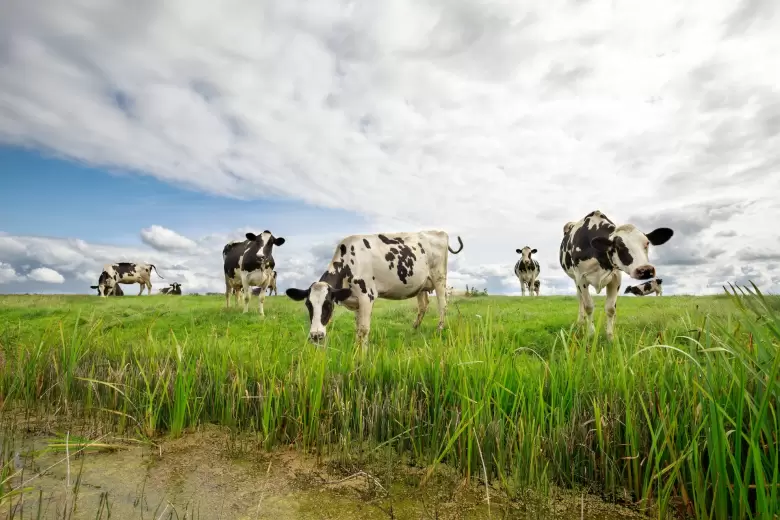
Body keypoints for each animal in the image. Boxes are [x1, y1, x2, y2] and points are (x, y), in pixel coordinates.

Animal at [285, 231, 464, 345]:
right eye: (308, 305)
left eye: (328, 304)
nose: (316, 335)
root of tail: (439, 232)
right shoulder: (356, 301)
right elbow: (358, 328)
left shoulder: (367, 296)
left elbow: (363, 329)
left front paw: (361, 355)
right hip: (421, 285)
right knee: (423, 305)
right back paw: (414, 328)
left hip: (439, 278)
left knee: (442, 304)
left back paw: (439, 329)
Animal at [559, 210, 673, 341]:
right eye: (619, 246)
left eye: (647, 243)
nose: (645, 270)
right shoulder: (581, 278)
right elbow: (588, 306)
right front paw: (591, 334)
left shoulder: (616, 278)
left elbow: (610, 308)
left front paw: (610, 337)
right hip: (575, 279)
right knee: (580, 299)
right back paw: (581, 322)